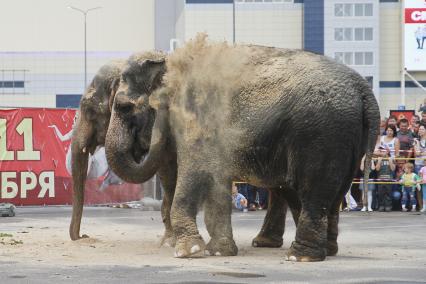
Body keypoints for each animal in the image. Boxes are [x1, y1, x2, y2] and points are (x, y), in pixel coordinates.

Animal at [105, 36, 380, 262]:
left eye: (123, 107)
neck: (172, 61)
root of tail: (363, 89)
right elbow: (216, 177)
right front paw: (220, 251)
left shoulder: (198, 115)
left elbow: (196, 170)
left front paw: (188, 252)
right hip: (346, 139)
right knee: (334, 192)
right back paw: (326, 250)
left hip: (321, 134)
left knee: (314, 189)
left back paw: (300, 256)